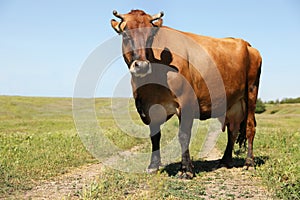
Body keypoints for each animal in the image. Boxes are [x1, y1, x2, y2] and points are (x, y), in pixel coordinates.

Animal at [110, 9, 262, 178]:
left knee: (250, 127)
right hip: (233, 103)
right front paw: (153, 166)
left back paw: (249, 163)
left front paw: (186, 169)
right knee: (233, 130)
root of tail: (247, 44)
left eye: (151, 37)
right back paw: (225, 160)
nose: (141, 65)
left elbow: (183, 135)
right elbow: (155, 136)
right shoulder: (149, 107)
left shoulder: (186, 102)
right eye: (125, 35)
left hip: (251, 93)